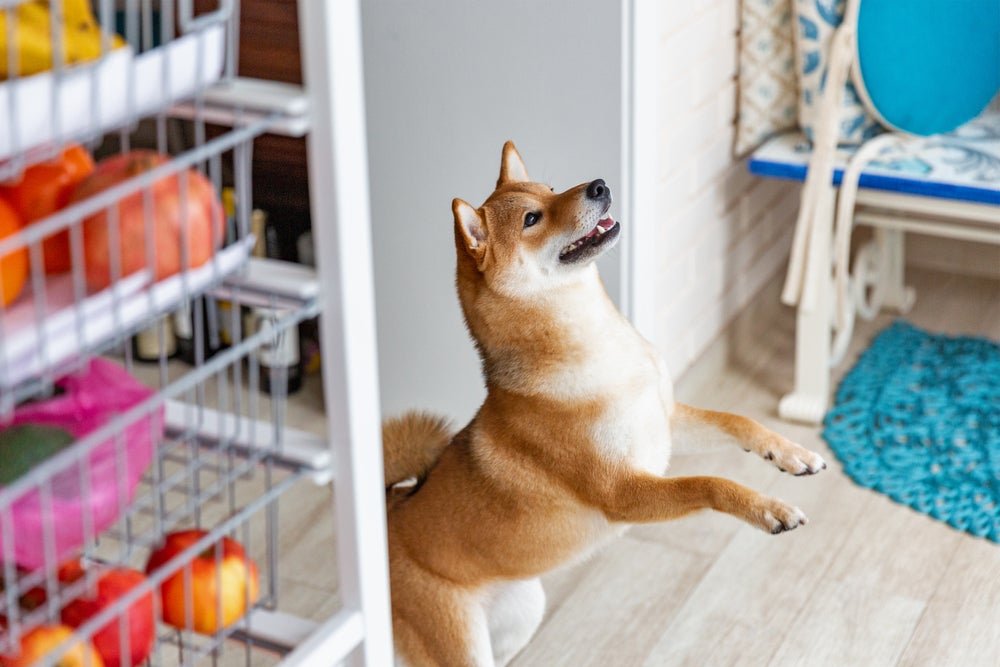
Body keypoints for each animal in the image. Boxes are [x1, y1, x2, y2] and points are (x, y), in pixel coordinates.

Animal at [382, 144, 828, 664]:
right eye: (532, 219)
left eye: (552, 189)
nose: (598, 185)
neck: (599, 344)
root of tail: (386, 513)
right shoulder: (623, 491)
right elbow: (710, 484)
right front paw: (766, 508)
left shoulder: (664, 424)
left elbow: (741, 422)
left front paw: (792, 453)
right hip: (458, 641)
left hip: (521, 611)